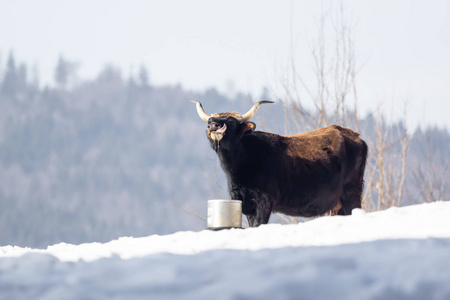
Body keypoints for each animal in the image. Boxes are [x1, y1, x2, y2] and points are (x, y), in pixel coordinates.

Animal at [192, 99, 368, 226]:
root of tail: (355, 136)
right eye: (210, 120)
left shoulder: (265, 201)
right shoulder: (246, 204)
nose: (213, 125)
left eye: (232, 122)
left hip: (352, 193)